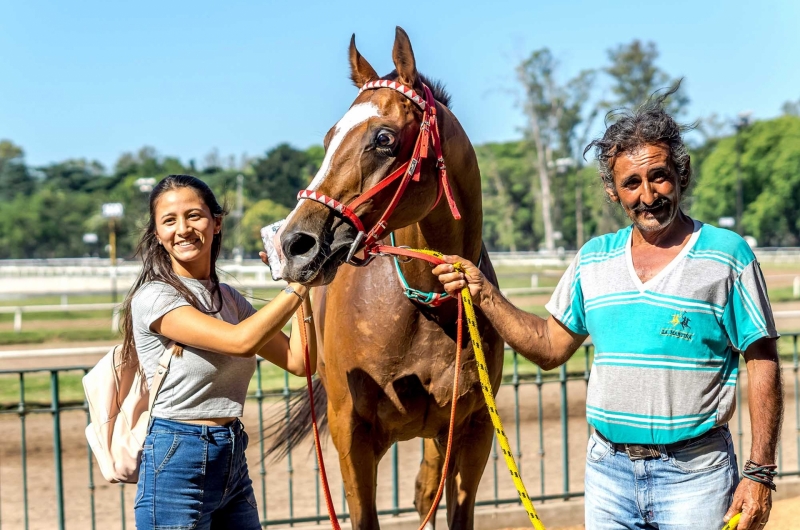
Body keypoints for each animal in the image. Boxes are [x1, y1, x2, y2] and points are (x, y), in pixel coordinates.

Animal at [272, 28, 504, 528]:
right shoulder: (351, 434)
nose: (295, 242)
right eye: (328, 138)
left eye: (383, 137)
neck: (426, 308)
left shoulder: (471, 429)